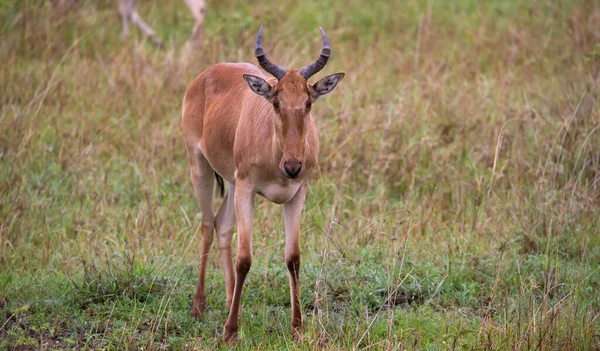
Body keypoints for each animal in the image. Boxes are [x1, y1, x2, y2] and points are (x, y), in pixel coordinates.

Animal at [180, 26, 344, 344]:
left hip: (232, 182)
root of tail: (204, 76)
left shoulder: (297, 194)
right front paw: (230, 331)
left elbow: (293, 258)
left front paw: (297, 328)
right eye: (276, 102)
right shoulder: (248, 190)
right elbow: (245, 258)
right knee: (207, 224)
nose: (292, 166)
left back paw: (231, 300)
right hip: (200, 166)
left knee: (222, 226)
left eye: (308, 102)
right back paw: (198, 307)